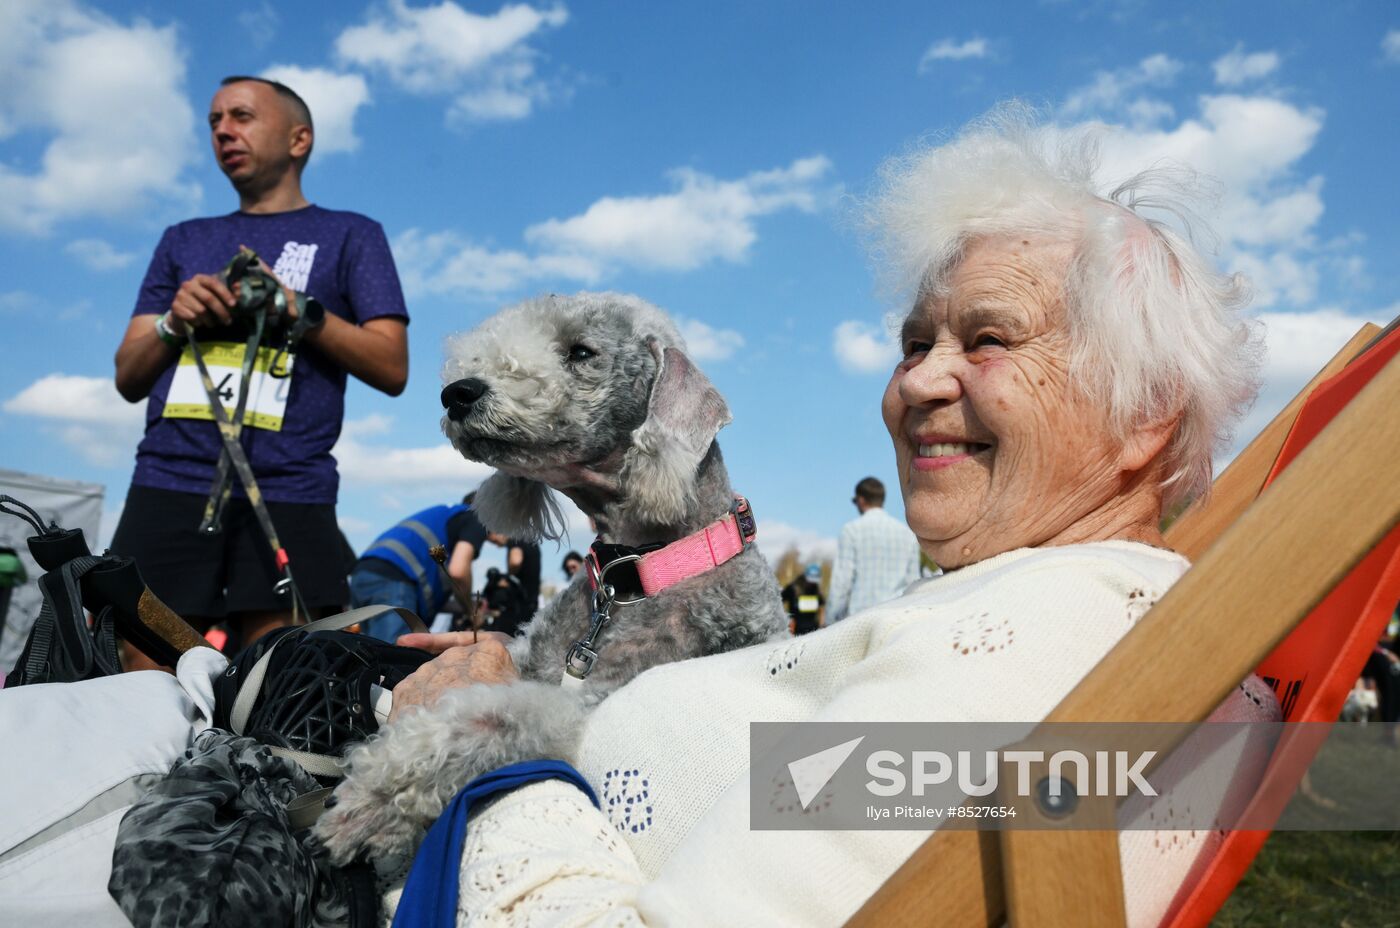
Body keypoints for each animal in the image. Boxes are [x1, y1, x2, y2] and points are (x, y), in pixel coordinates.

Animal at [316, 293, 789, 867]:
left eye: (582, 351)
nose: (457, 393)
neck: (642, 572)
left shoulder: (587, 697)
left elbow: (495, 718)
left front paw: (371, 802)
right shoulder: (528, 658)